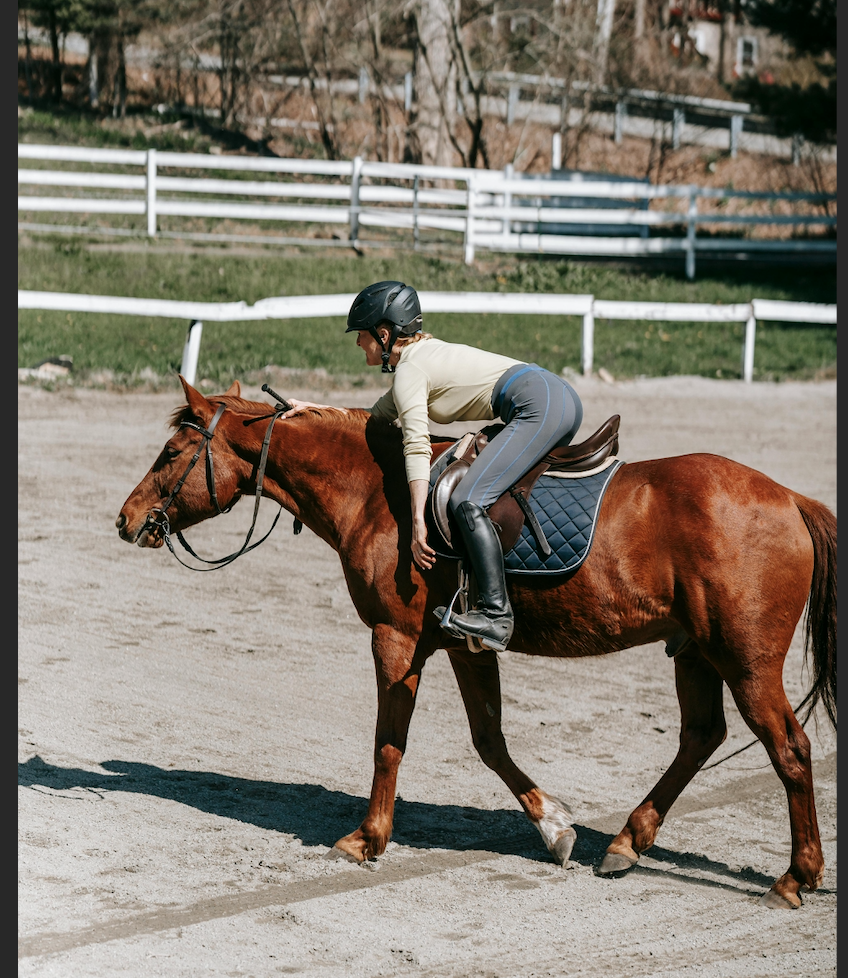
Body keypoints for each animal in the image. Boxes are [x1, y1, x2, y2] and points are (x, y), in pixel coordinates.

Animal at [116, 380, 840, 908]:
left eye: (171, 455)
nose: (125, 520)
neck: (377, 491)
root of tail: (790, 498)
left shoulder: (396, 638)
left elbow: (389, 742)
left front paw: (367, 838)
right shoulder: (464, 646)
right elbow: (490, 741)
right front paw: (554, 828)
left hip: (745, 661)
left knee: (790, 749)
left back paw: (794, 877)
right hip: (694, 651)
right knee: (701, 737)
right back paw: (627, 843)